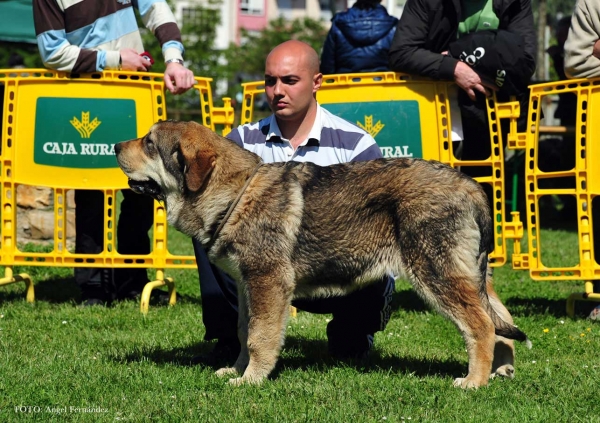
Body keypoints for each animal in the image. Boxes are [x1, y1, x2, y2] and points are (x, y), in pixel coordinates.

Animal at [113, 121, 528, 390]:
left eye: (149, 144)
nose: (115, 147)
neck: (235, 193)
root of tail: (470, 185)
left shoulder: (268, 284)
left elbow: (260, 338)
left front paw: (251, 380)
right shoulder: (250, 287)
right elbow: (245, 332)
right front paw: (236, 371)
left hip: (438, 276)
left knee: (481, 326)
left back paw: (474, 382)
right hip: (472, 279)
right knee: (502, 320)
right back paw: (502, 371)